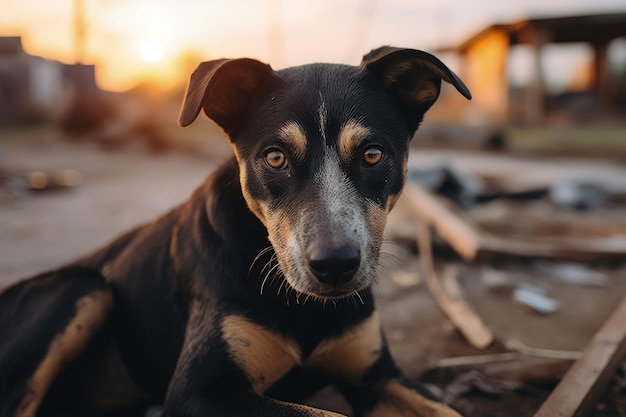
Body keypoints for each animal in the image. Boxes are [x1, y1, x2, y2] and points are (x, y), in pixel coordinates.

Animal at [0, 46, 468, 416]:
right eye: (275, 158)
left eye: (373, 154)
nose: (335, 265)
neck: (301, 303)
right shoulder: (199, 393)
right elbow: (324, 414)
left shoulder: (378, 376)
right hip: (81, 287)